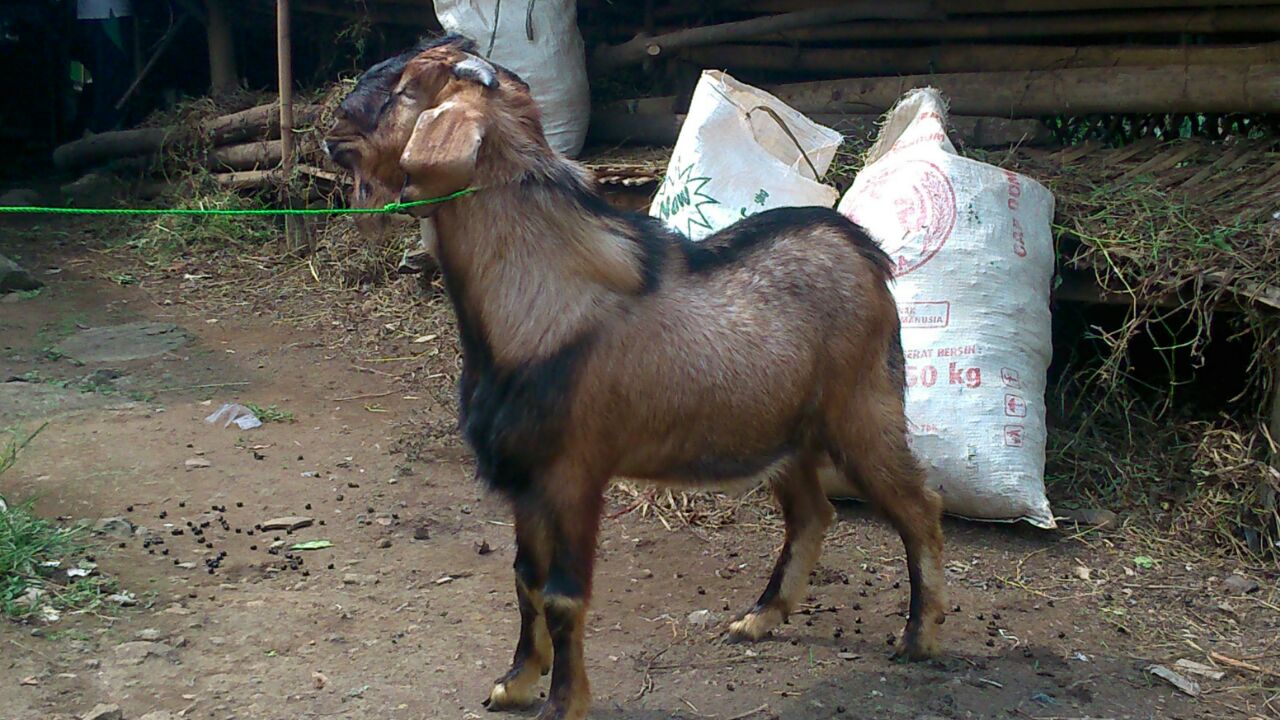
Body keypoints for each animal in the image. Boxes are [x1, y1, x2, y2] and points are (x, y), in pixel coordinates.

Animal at [325, 35, 947, 720]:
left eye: (408, 88)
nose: (334, 130)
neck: (539, 300)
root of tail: (862, 248)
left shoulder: (572, 474)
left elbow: (562, 594)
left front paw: (562, 704)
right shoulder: (527, 479)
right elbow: (524, 579)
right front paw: (516, 681)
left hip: (864, 410)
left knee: (919, 507)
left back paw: (920, 635)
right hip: (786, 433)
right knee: (812, 513)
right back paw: (759, 618)